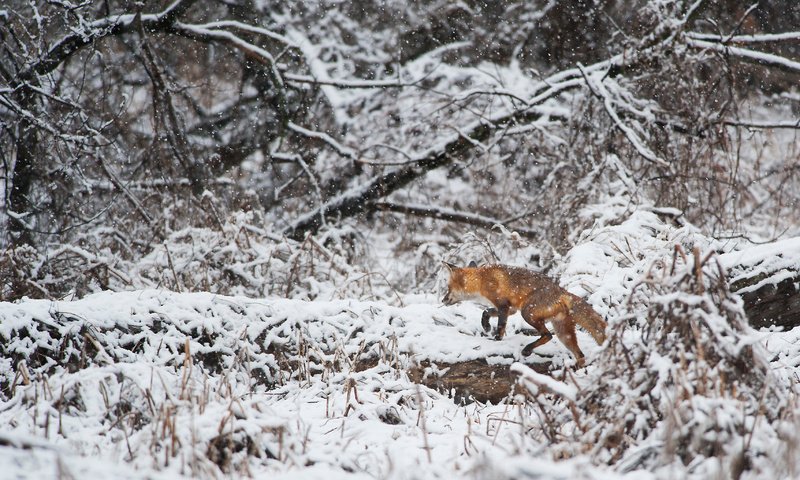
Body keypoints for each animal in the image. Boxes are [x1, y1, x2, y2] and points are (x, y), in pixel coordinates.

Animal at [444, 260, 608, 366]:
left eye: (448, 288)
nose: (442, 299)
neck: (481, 279)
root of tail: (563, 292)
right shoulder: (510, 309)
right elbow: (486, 312)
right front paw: (486, 326)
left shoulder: (503, 306)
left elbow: (500, 326)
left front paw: (496, 340)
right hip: (563, 333)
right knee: (580, 355)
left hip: (527, 313)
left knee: (547, 335)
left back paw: (527, 350)